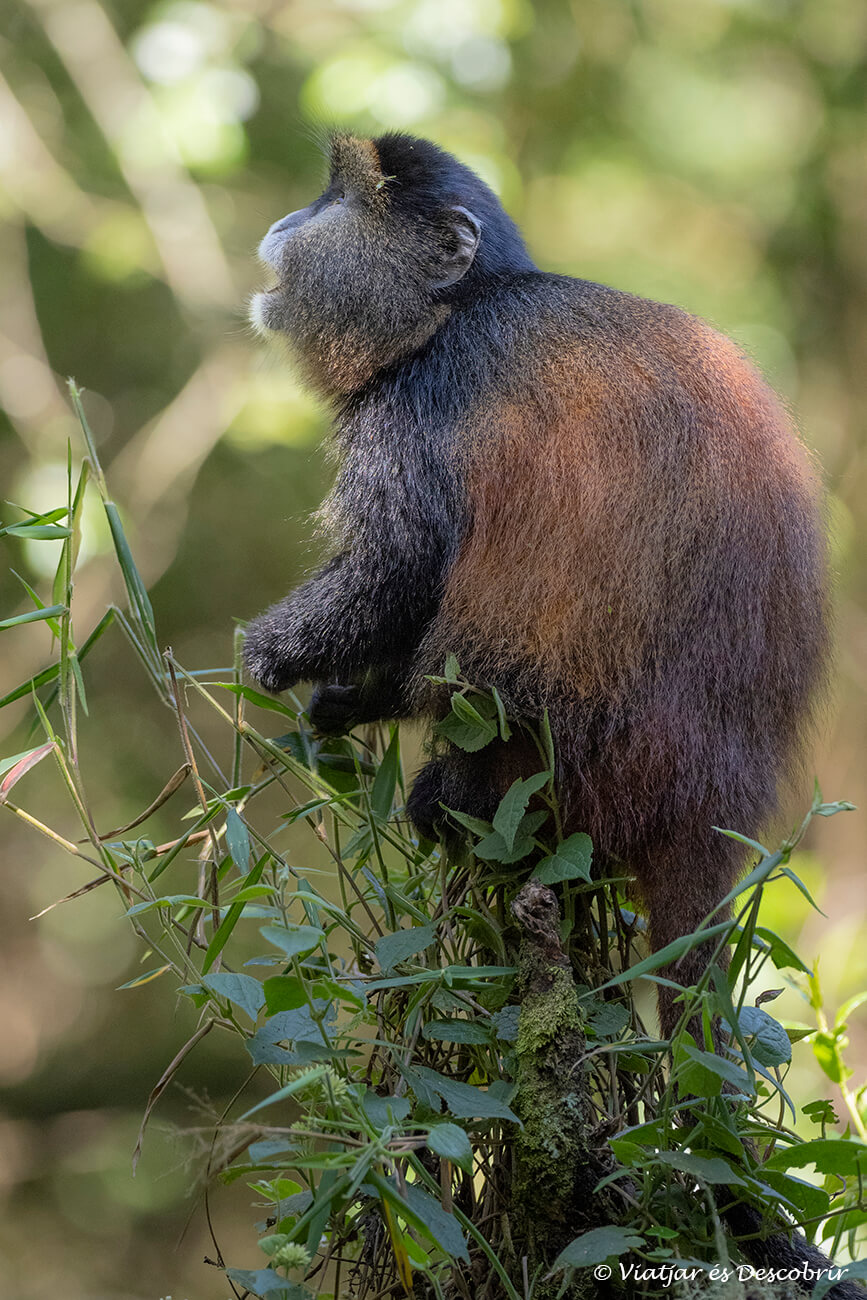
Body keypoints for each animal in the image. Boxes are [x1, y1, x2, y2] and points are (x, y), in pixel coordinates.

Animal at [243, 133, 854, 1292]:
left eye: (339, 194)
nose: (282, 221)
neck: (469, 300)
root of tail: (715, 793)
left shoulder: (422, 401)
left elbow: (397, 568)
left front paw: (291, 662)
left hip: (567, 766)